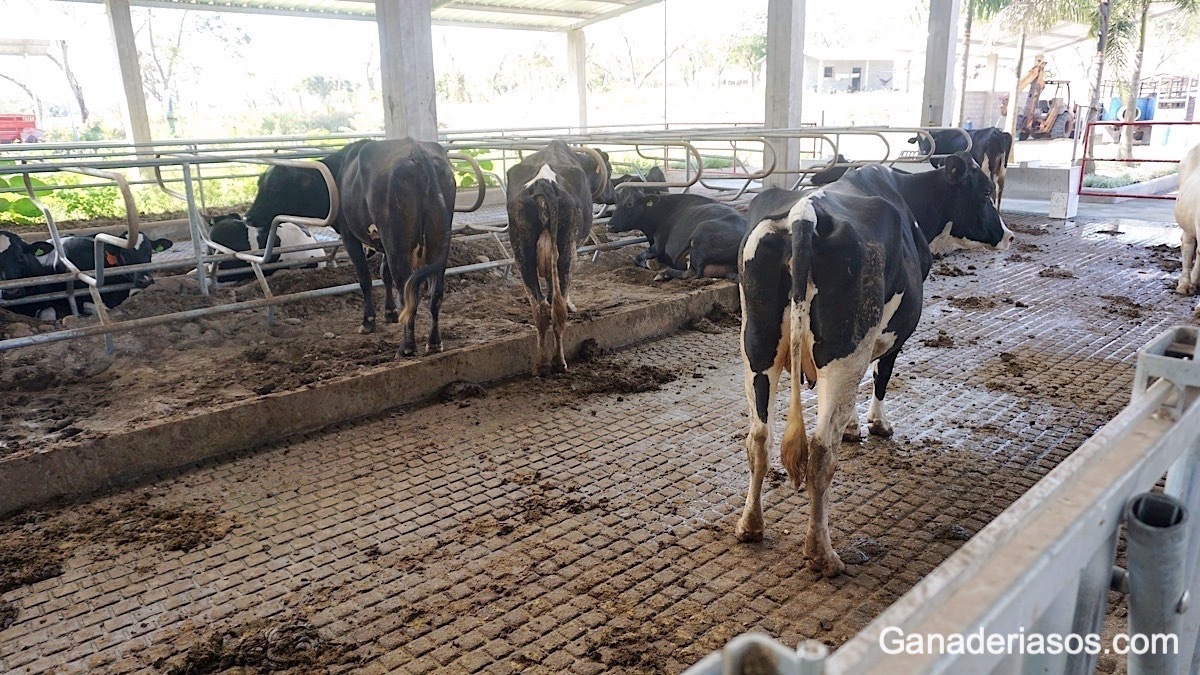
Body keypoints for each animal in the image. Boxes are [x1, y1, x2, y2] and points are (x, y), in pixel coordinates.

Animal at [243, 138, 453, 355]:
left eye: (274, 186)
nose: (248, 217)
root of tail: (417, 151)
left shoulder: (350, 236)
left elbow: (365, 279)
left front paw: (368, 322)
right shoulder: (383, 244)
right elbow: (384, 273)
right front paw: (390, 313)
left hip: (398, 246)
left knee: (408, 291)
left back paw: (407, 347)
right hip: (437, 245)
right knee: (435, 293)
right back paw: (434, 342)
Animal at [609, 187, 748, 279]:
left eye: (630, 204)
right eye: (616, 203)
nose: (609, 225)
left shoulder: (658, 246)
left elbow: (638, 257)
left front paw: (650, 263)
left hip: (700, 235)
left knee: (692, 273)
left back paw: (664, 274)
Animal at [734, 151, 1008, 571]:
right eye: (983, 192)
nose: (1007, 234)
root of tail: (804, 213)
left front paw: (851, 426)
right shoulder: (892, 334)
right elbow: (882, 375)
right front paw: (877, 424)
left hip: (757, 345)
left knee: (759, 439)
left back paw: (750, 526)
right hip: (844, 351)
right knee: (820, 452)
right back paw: (823, 553)